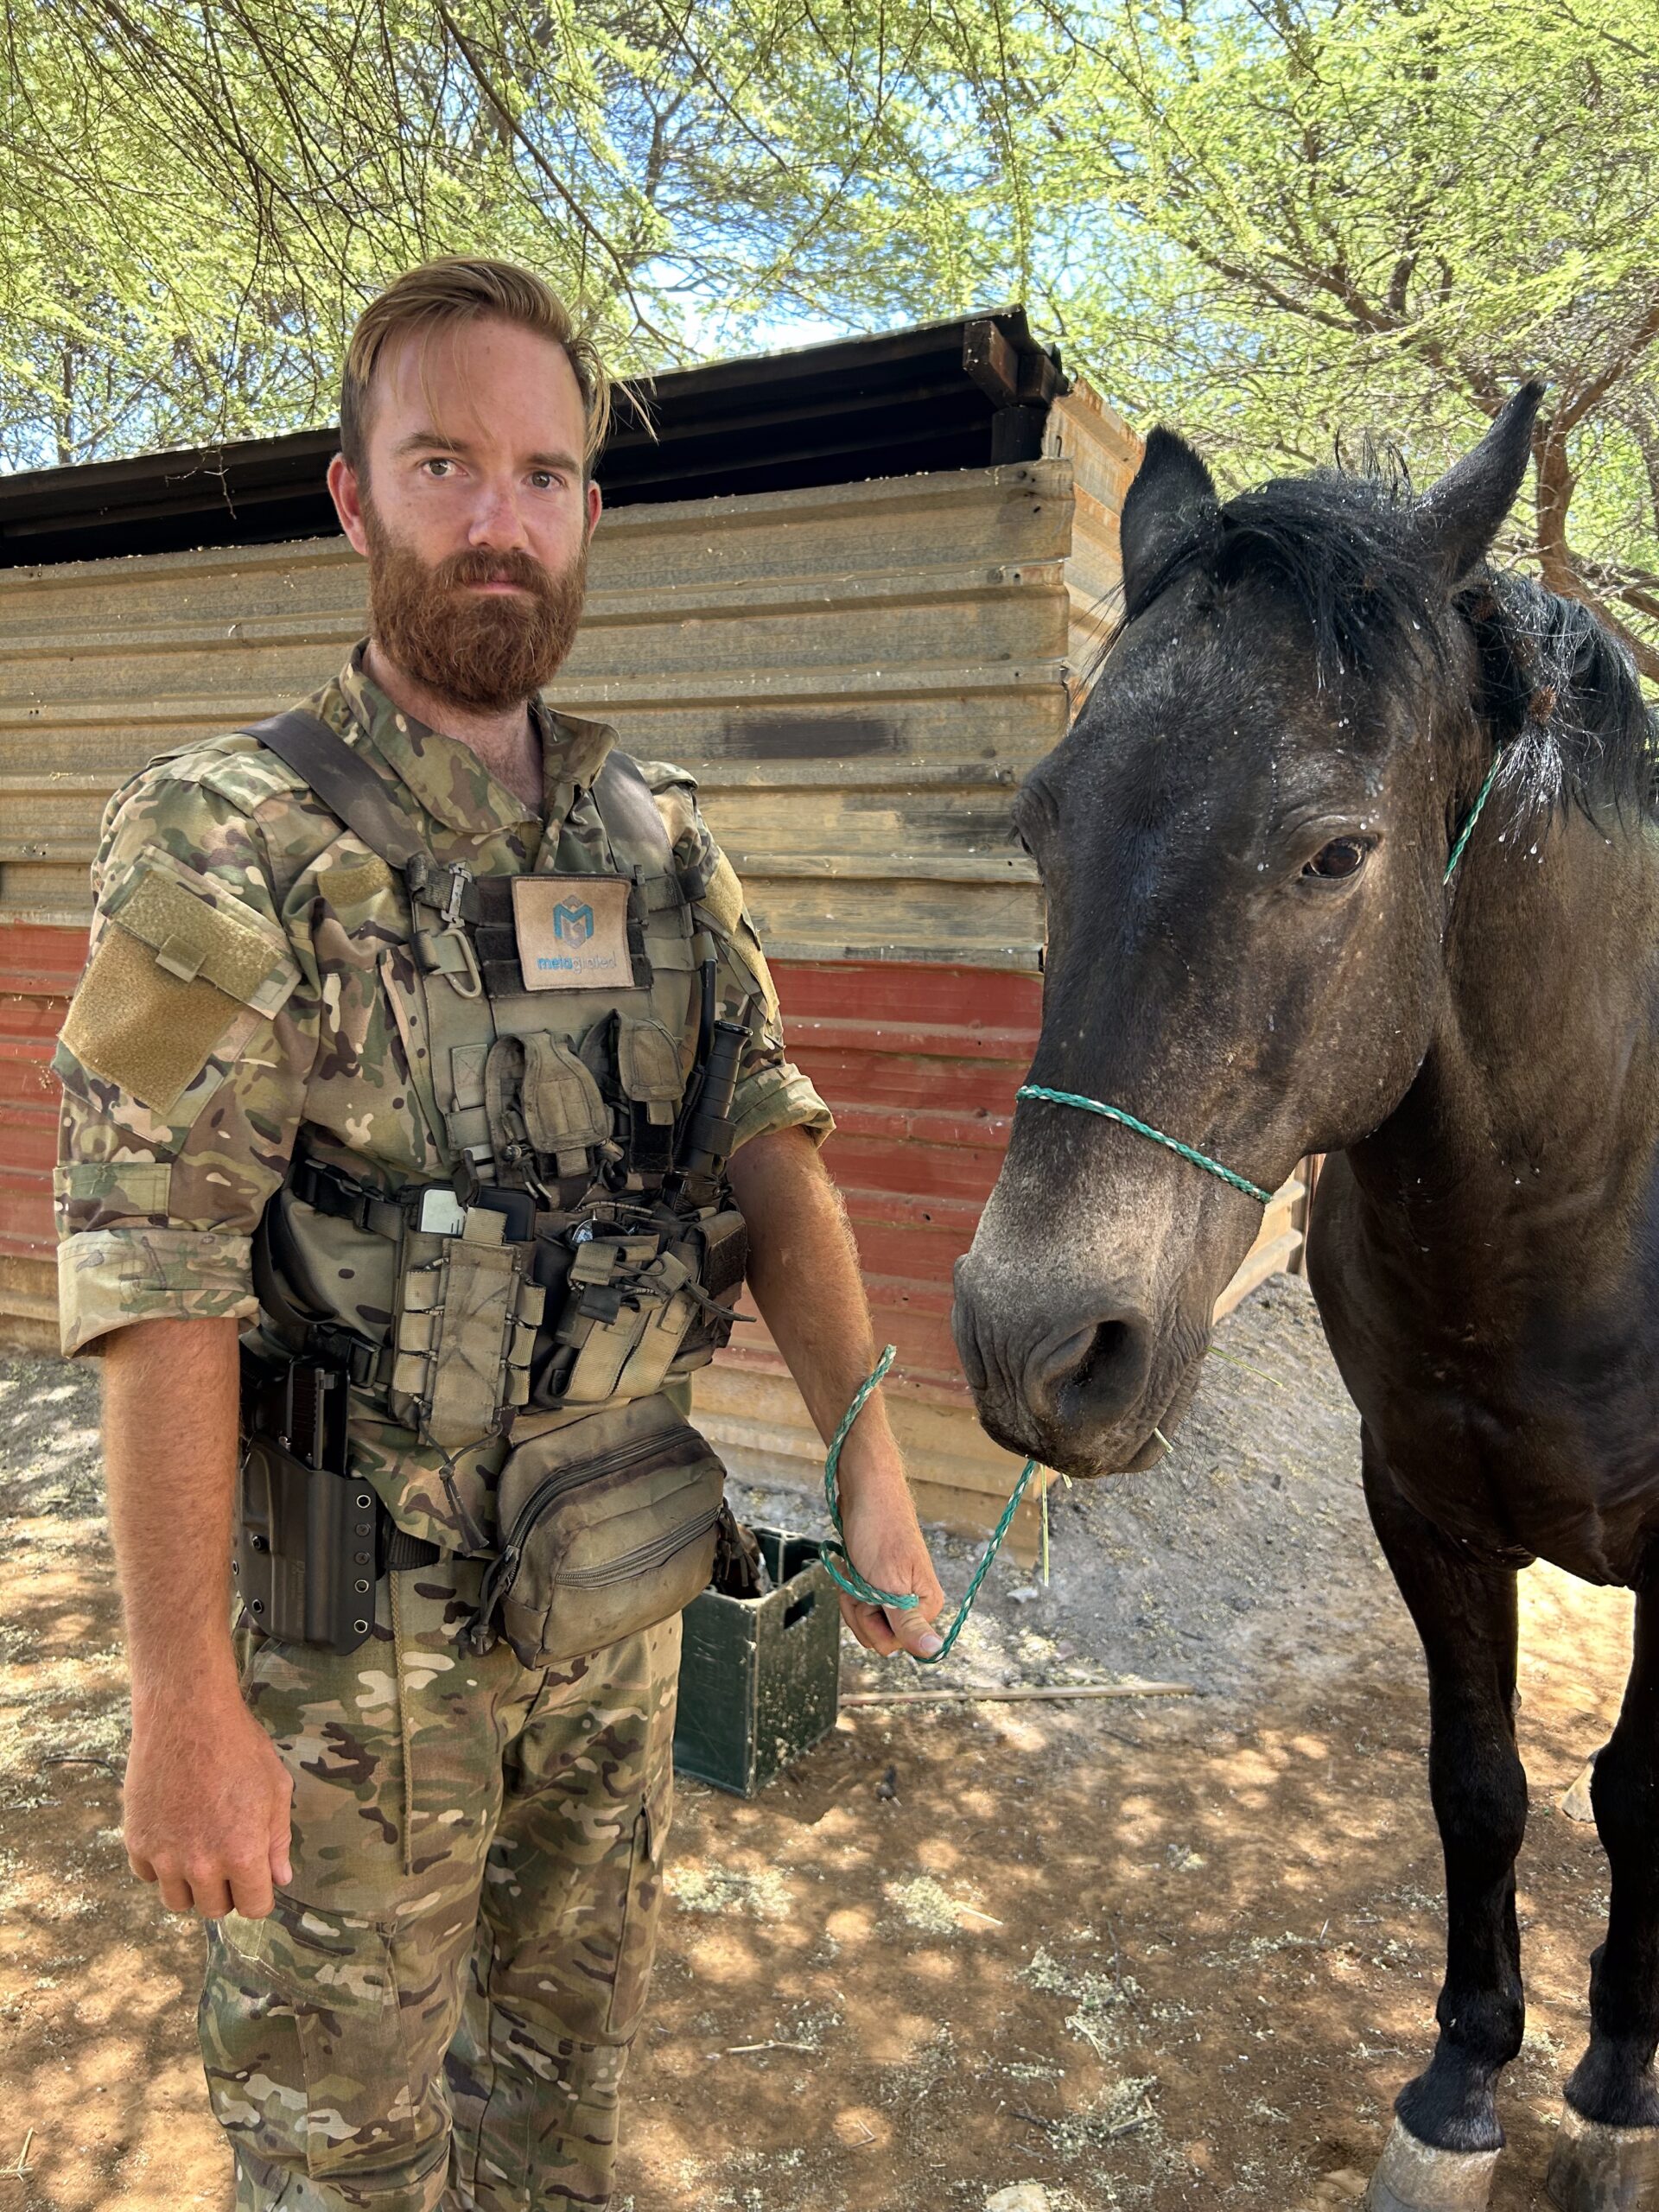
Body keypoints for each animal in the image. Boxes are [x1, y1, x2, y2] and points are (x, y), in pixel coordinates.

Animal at [952, 387, 1659, 2212]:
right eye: (1042, 822)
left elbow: (1645, 1790)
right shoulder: (1421, 1501)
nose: (1036, 1341)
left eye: (1337, 852)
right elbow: (1479, 1789)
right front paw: (1460, 2090)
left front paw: (1618, 2089)